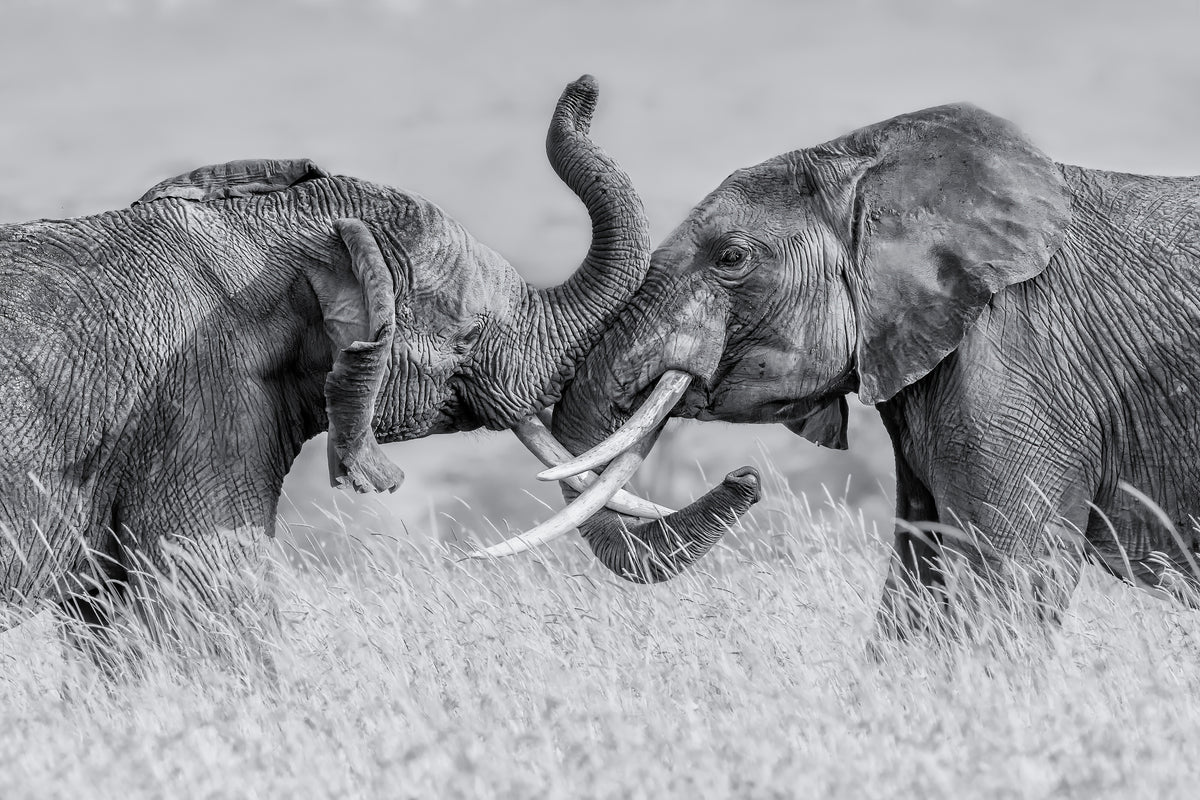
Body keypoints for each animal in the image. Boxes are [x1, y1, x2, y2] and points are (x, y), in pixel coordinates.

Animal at [486, 101, 1200, 626]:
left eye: (730, 258)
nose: (746, 478)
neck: (870, 164)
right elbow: (916, 585)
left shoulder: (1019, 360)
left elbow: (1009, 583)